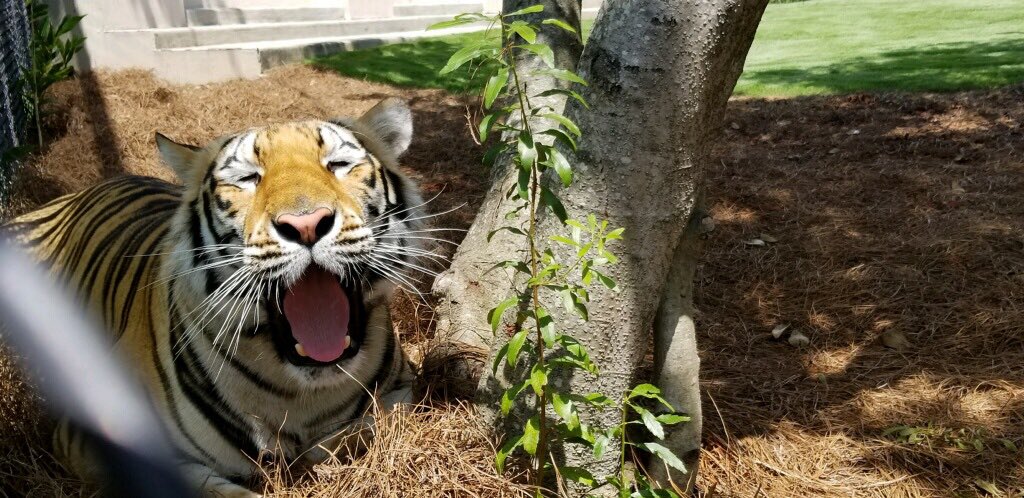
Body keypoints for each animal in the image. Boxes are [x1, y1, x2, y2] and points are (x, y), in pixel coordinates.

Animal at [2, 98, 425, 498]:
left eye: (338, 165)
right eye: (248, 179)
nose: (306, 224)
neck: (301, 393)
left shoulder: (406, 387)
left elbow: (368, 424)